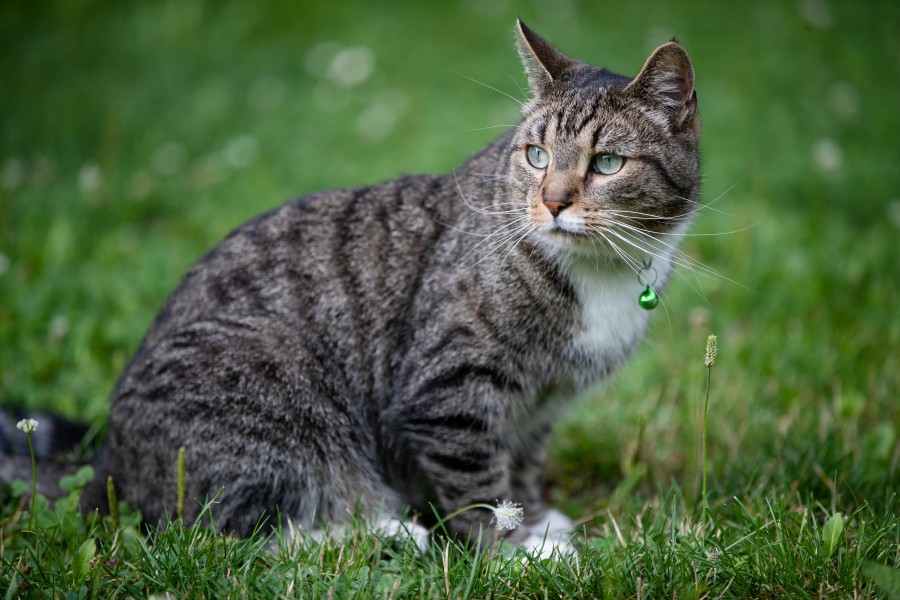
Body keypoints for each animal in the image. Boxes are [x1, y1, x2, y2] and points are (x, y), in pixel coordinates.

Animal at [3, 19, 700, 556]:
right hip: (273, 402)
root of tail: (106, 465)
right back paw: (387, 531)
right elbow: (477, 483)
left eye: (606, 163)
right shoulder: (448, 390)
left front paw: (534, 519)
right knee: (228, 532)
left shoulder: (543, 403)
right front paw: (516, 549)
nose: (553, 201)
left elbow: (522, 462)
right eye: (536, 155)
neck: (599, 272)